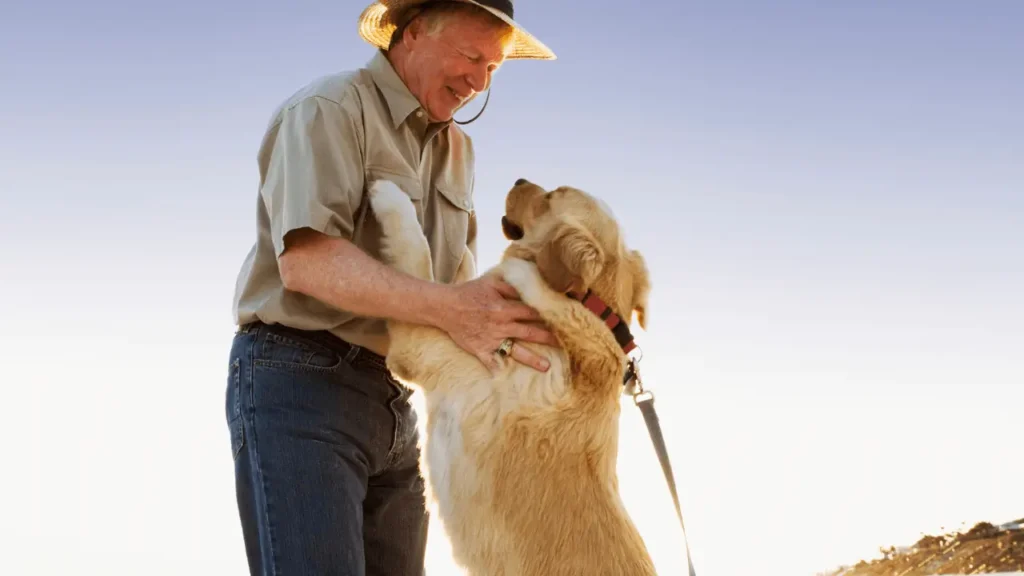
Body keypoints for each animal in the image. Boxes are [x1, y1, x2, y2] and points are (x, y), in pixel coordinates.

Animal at [368, 177, 655, 569]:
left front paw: (388, 193)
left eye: (552, 195)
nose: (518, 180)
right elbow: (455, 282)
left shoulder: (419, 348)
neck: (589, 308)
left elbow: (418, 253)